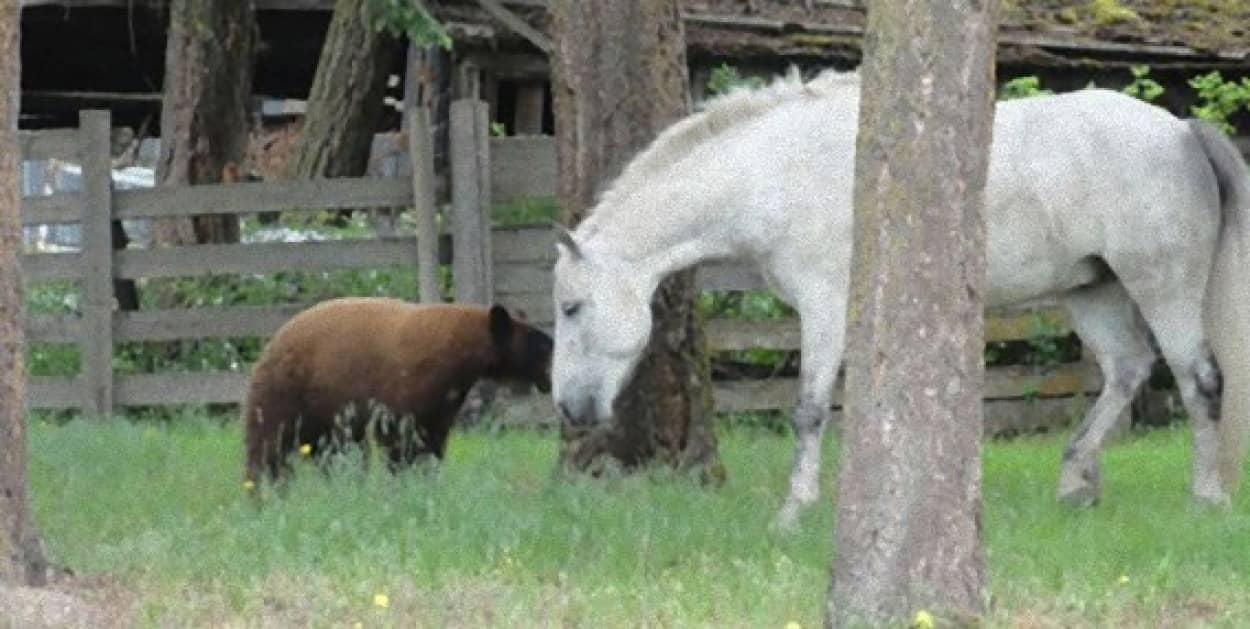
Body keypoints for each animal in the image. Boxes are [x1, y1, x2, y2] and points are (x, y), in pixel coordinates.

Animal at [549, 68, 1250, 529]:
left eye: (571, 307)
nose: (571, 409)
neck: (775, 171)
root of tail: (1181, 131)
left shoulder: (824, 308)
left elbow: (808, 411)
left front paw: (793, 512)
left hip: (1162, 287)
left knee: (1200, 380)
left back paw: (1206, 497)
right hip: (1092, 292)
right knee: (1127, 372)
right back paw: (1076, 481)